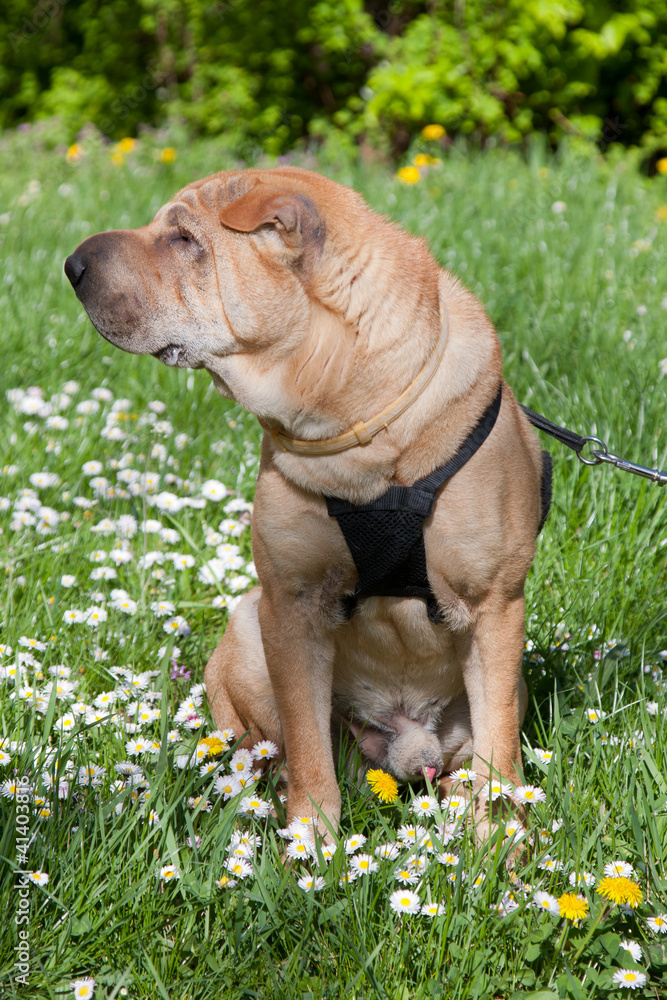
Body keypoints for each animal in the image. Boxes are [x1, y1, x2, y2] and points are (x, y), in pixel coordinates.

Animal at [64, 164, 548, 836]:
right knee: (258, 744)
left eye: (185, 239)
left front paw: (499, 841)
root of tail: (404, 742)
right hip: (247, 631)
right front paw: (311, 837)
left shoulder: (495, 608)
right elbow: (307, 738)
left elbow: (498, 750)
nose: (72, 264)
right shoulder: (290, 606)